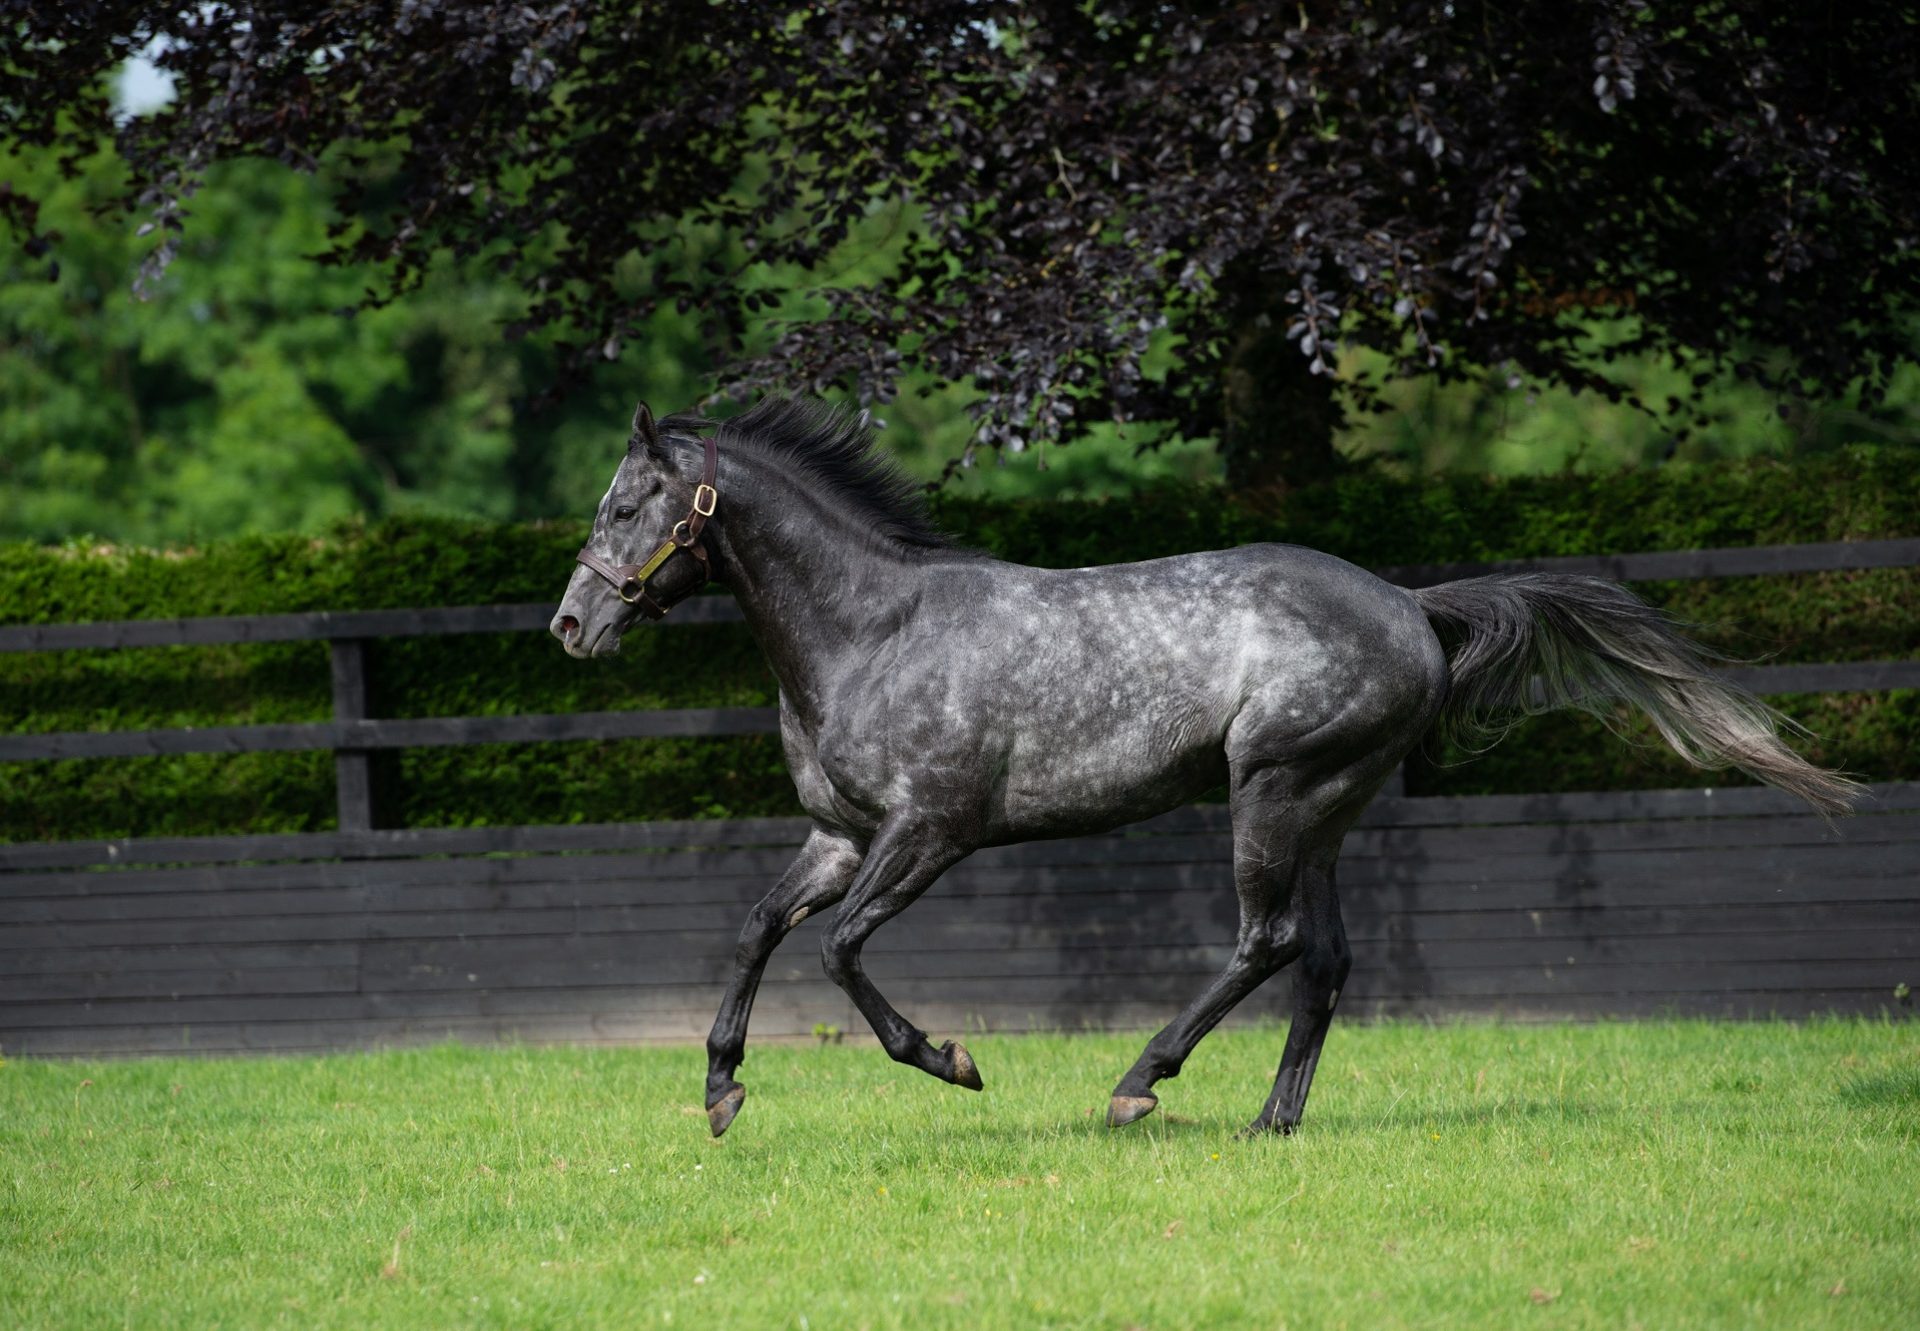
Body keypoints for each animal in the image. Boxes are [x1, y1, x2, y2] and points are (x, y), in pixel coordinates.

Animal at [549, 393, 1850, 1129]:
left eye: (629, 502)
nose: (569, 624)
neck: (873, 632)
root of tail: (1411, 606)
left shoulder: (931, 831)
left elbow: (838, 949)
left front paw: (952, 1060)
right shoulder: (842, 834)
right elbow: (756, 930)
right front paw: (721, 1090)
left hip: (1269, 789)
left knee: (1265, 942)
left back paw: (1140, 1081)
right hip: (1325, 809)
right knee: (1324, 961)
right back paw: (1270, 1122)